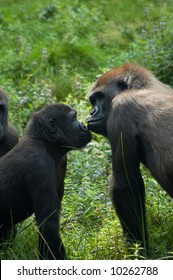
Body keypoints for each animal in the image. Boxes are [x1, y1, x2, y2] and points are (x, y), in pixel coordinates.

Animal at [88, 63, 173, 252]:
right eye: (93, 101)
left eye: (99, 97)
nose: (91, 112)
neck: (146, 86)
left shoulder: (121, 110)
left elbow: (125, 188)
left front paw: (139, 252)